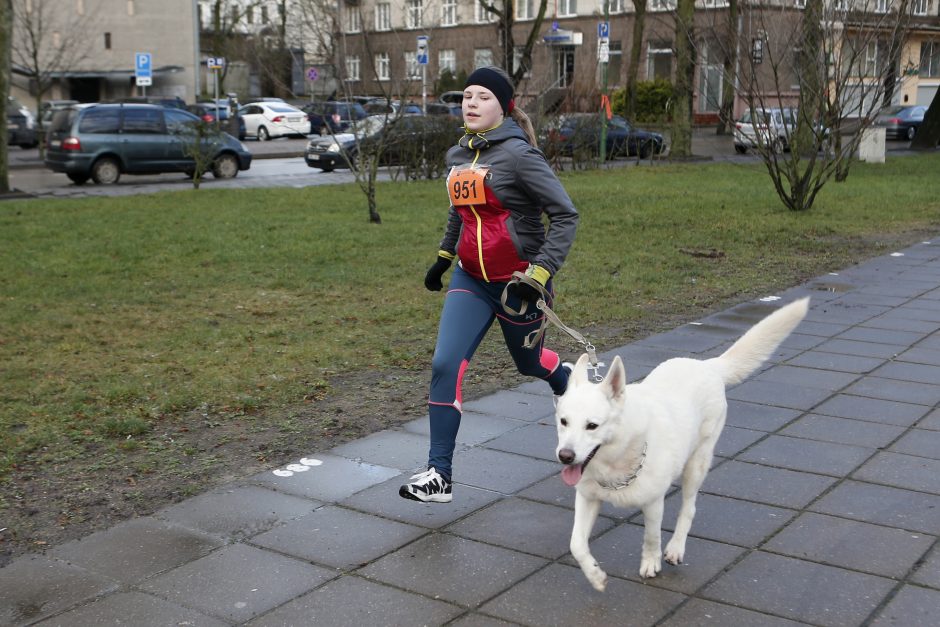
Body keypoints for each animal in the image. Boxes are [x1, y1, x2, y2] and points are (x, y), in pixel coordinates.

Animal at [560, 296, 808, 592]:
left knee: (688, 509)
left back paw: (676, 548)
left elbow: (652, 537)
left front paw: (651, 563)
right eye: (563, 422)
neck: (616, 460)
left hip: (696, 465)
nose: (565, 456)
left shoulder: (654, 503)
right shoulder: (588, 498)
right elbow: (576, 544)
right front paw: (596, 576)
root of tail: (709, 365)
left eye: (592, 426)